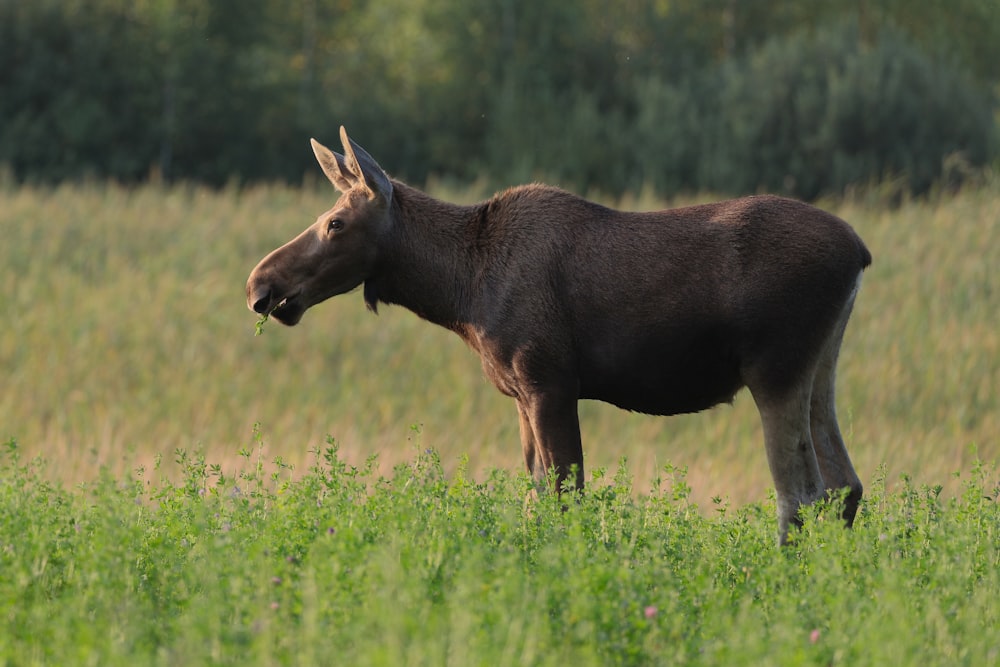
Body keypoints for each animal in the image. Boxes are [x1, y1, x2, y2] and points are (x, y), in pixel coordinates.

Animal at [246, 126, 872, 544]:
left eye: (335, 223)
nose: (261, 284)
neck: (460, 291)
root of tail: (861, 252)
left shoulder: (548, 381)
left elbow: (563, 497)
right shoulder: (522, 395)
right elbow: (536, 495)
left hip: (775, 368)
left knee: (801, 494)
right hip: (820, 366)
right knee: (845, 485)